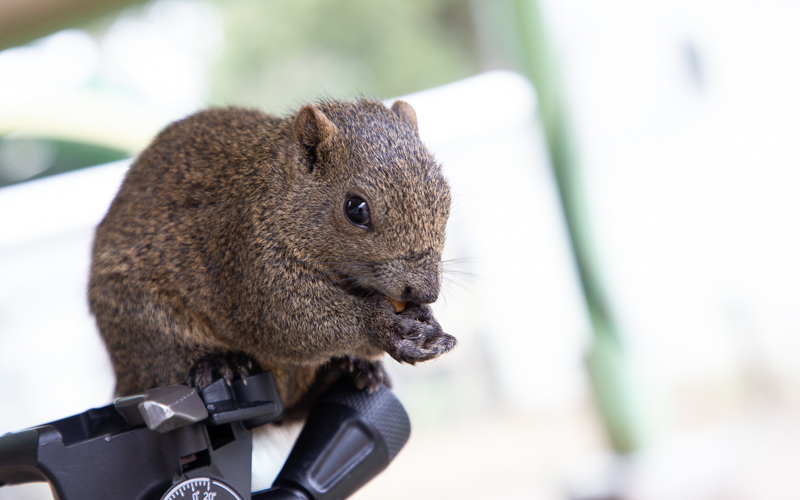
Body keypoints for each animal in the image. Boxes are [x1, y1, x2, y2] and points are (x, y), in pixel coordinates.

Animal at [87, 98, 456, 414]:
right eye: (356, 209)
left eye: (445, 196)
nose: (426, 292)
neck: (277, 195)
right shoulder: (247, 259)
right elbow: (286, 321)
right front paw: (383, 324)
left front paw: (423, 321)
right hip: (143, 323)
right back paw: (216, 364)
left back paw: (356, 369)